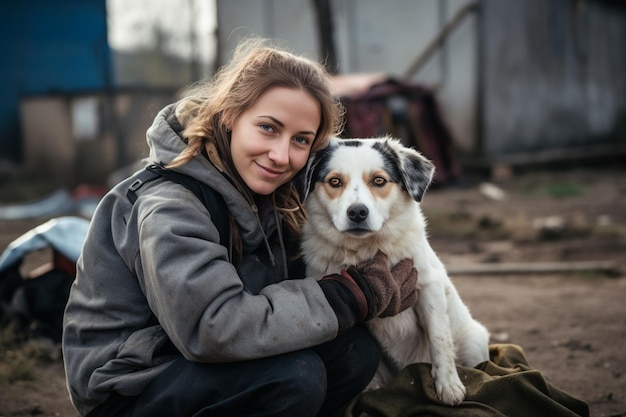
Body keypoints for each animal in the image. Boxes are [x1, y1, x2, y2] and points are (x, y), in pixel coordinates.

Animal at [300, 138, 490, 404]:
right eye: (335, 181)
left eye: (379, 180)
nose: (357, 212)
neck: (366, 249)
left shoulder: (428, 285)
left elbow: (439, 339)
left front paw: (449, 385)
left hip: (474, 340)